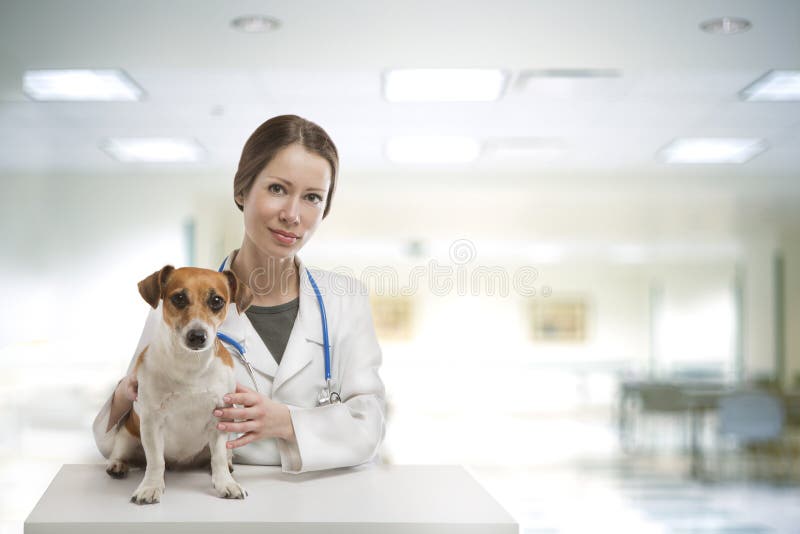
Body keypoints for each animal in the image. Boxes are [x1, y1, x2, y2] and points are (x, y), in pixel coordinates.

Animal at [104, 266, 252, 506]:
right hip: (127, 434)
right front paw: (151, 487)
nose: (197, 336)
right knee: (122, 452)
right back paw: (117, 465)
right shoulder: (151, 422)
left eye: (217, 301)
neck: (190, 364)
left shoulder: (220, 418)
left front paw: (225, 483)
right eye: (179, 298)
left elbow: (219, 458)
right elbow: (155, 461)